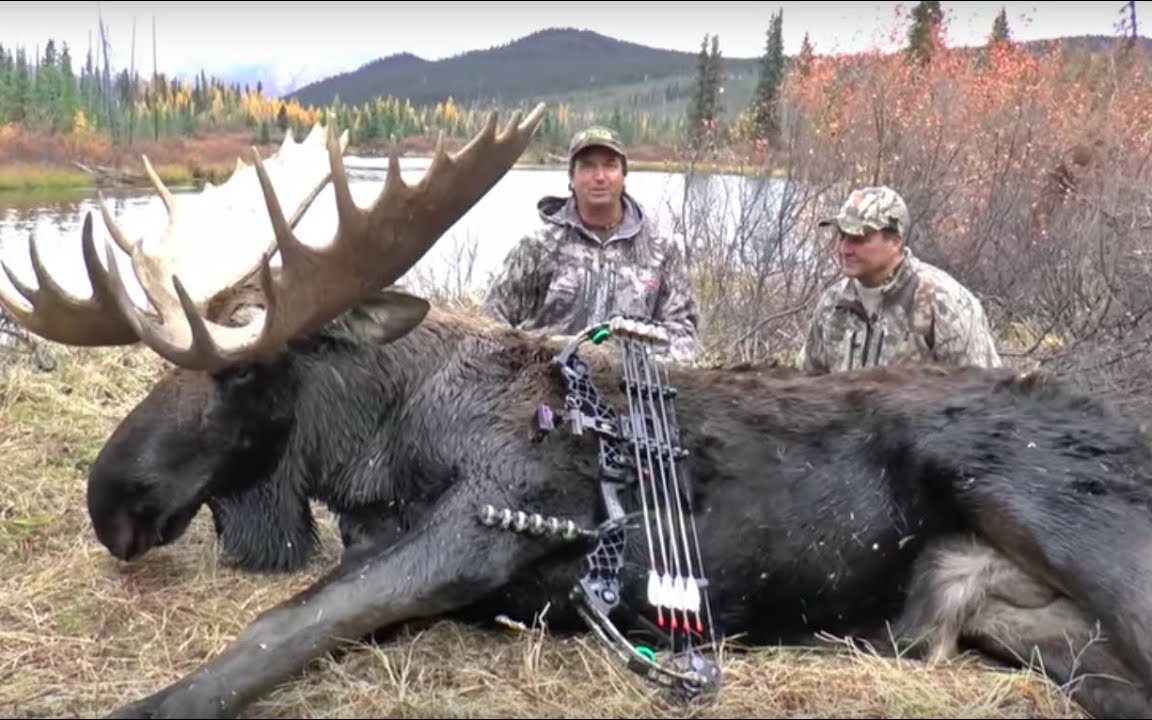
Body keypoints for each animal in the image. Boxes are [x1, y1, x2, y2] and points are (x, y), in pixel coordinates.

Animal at [2, 102, 1152, 718]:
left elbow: (280, 628)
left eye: (244, 371)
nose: (112, 501)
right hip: (1029, 626)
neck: (387, 444)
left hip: (1052, 510)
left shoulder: (482, 530)